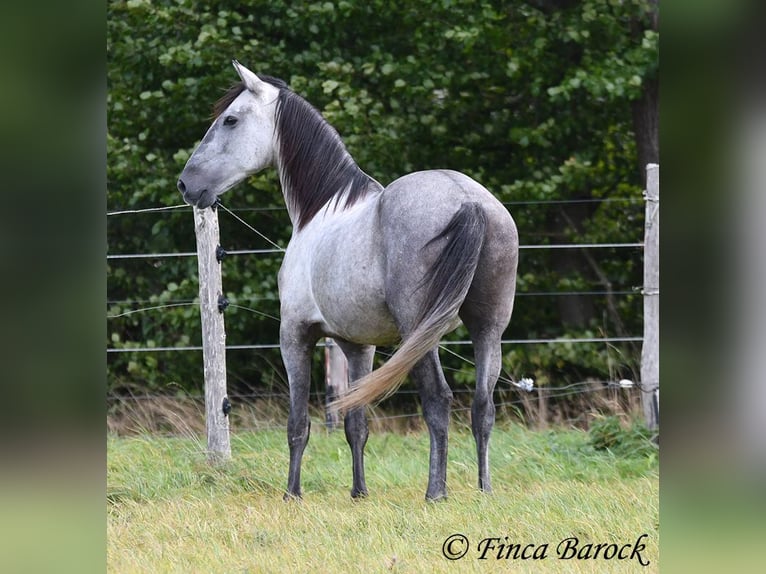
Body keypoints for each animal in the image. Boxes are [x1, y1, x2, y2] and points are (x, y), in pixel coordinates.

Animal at [177, 58, 520, 500]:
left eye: (230, 120)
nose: (186, 184)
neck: (322, 209)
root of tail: (469, 200)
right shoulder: (358, 346)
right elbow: (356, 423)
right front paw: (359, 492)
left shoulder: (294, 335)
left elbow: (298, 424)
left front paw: (292, 494)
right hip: (488, 328)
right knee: (483, 406)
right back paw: (483, 490)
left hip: (421, 329)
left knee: (438, 400)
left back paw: (435, 493)